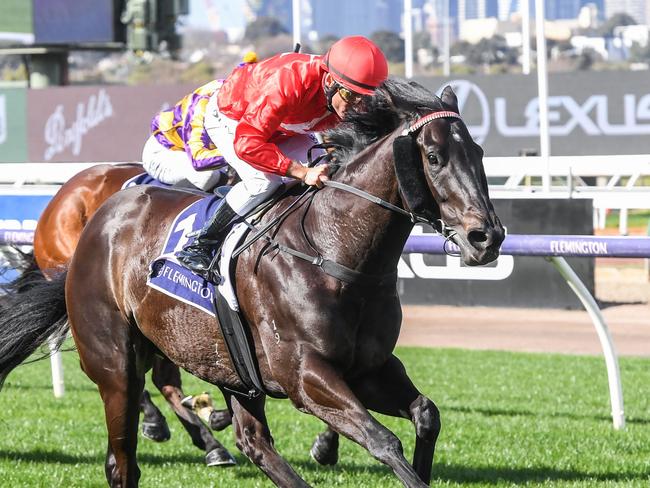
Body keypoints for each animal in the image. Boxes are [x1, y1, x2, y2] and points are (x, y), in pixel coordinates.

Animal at [0, 78, 504, 486]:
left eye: (478, 154)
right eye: (434, 157)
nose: (487, 237)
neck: (334, 251)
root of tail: (93, 218)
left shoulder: (370, 368)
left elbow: (426, 415)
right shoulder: (305, 375)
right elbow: (382, 440)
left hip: (226, 363)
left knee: (253, 442)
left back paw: (216, 439)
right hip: (115, 363)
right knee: (124, 455)